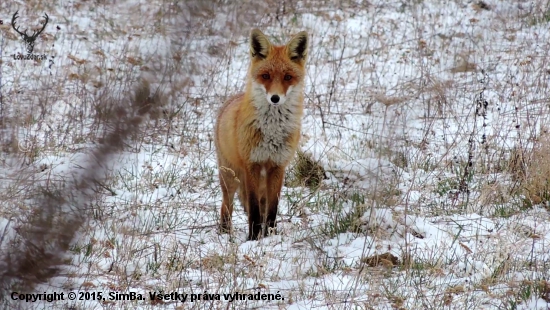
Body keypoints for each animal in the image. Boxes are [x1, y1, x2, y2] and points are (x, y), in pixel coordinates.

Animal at [217, 29, 310, 241]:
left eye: (287, 77)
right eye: (266, 76)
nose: (275, 98)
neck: (272, 132)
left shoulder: (277, 166)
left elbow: (271, 209)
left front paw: (270, 235)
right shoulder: (252, 164)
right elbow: (253, 209)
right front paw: (252, 238)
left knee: (260, 204)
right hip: (230, 176)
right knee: (227, 205)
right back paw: (225, 233)